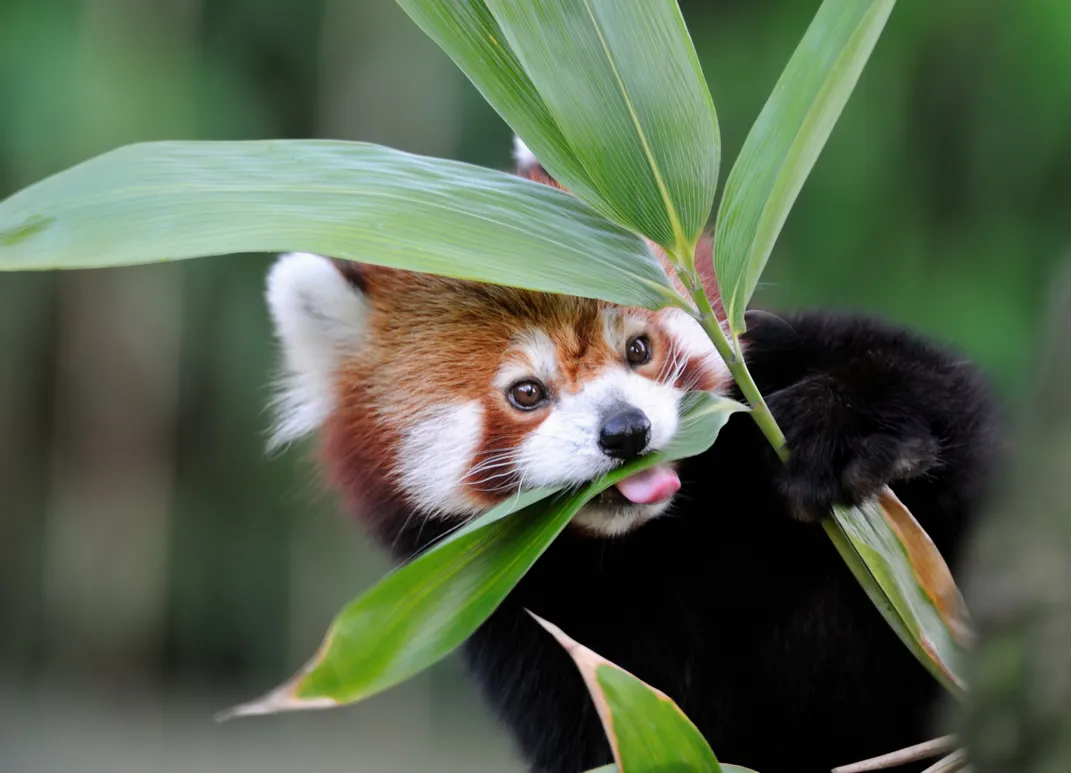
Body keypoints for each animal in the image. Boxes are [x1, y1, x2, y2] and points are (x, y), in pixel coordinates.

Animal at [263, 135, 998, 766]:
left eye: (638, 348)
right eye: (526, 392)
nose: (624, 431)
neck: (656, 547)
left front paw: (840, 431)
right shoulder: (516, 632)